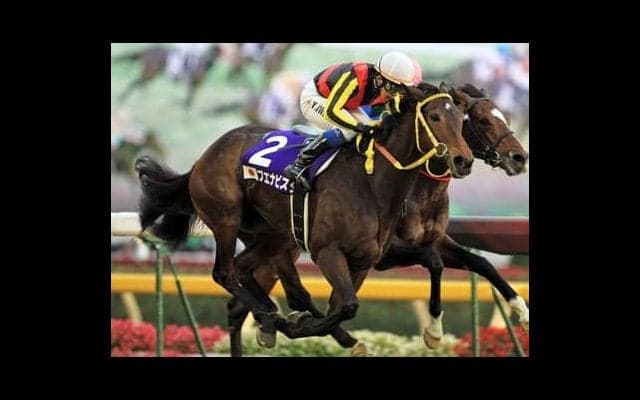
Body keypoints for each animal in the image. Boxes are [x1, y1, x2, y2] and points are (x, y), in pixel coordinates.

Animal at [135, 82, 474, 350]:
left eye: (461, 120)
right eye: (434, 116)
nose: (464, 160)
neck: (372, 184)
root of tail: (203, 157)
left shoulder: (365, 260)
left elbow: (342, 306)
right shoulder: (328, 252)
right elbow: (347, 306)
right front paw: (301, 325)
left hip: (273, 234)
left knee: (246, 271)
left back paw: (270, 318)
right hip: (226, 218)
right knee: (225, 273)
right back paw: (272, 317)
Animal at [222, 83, 528, 356]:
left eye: (502, 115)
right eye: (483, 120)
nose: (519, 157)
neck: (420, 189)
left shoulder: (435, 240)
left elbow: (480, 262)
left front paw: (520, 309)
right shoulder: (388, 254)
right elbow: (434, 263)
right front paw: (433, 331)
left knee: (252, 301)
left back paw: (273, 326)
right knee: (261, 298)